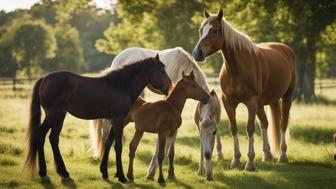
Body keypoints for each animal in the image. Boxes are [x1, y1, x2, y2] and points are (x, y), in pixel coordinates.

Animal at [23, 54, 172, 183]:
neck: (121, 85)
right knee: (40, 135)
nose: (170, 87)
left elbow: (108, 143)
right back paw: (44, 174)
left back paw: (64, 173)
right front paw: (121, 176)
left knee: (53, 138)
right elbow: (118, 146)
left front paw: (105, 172)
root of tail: (44, 78)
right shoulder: (118, 119)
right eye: (161, 70)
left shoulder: (114, 120)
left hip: (60, 115)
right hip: (53, 114)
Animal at [89, 47, 223, 180]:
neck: (180, 65)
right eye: (202, 132)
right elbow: (161, 146)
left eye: (214, 132)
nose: (208, 155)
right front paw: (152, 172)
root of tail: (118, 57)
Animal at [193, 9, 296, 171]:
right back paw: (267, 154)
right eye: (201, 30)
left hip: (286, 97)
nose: (197, 53)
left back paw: (282, 156)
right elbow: (234, 128)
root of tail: (285, 49)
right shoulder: (229, 103)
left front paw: (250, 162)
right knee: (265, 123)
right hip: (265, 103)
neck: (238, 68)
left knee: (283, 123)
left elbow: (250, 129)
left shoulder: (251, 103)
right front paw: (236, 160)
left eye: (214, 30)